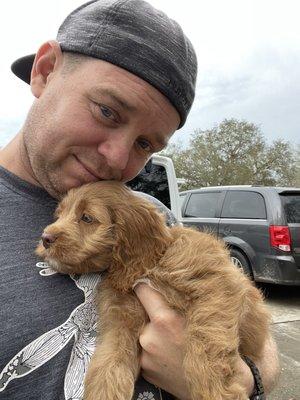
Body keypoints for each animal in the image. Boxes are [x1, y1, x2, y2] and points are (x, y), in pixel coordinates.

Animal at [36, 181, 270, 400]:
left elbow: (206, 346)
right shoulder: (121, 318)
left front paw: (217, 391)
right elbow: (110, 359)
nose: (45, 238)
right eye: (59, 215)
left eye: (86, 218)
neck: (149, 265)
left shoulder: (216, 287)